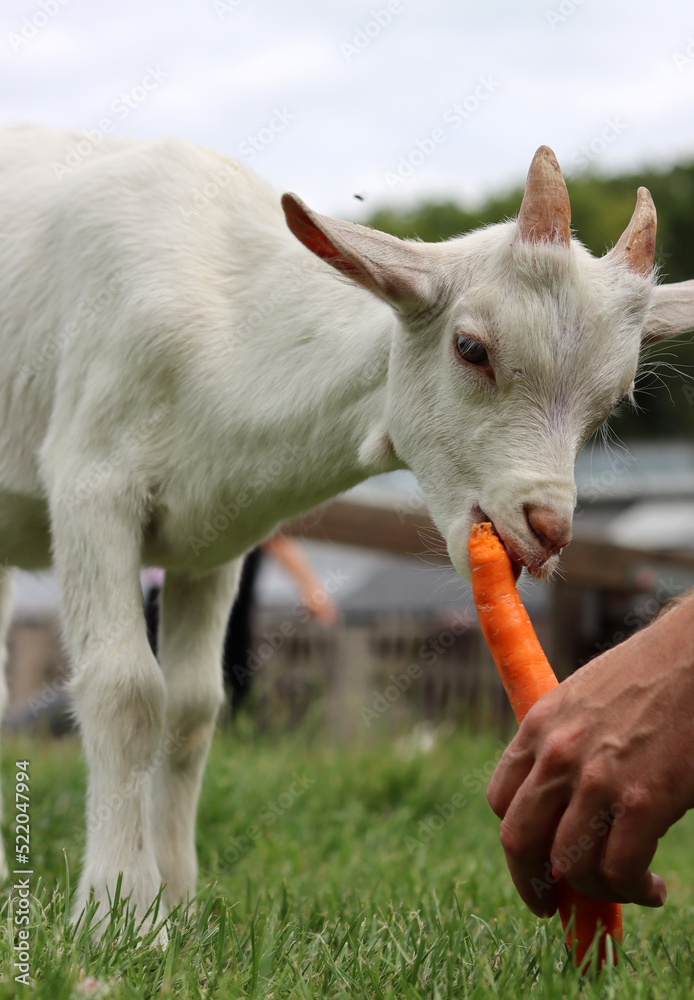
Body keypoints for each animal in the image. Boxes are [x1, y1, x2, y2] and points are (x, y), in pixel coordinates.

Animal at [0, 124, 692, 935]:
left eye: (611, 402)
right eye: (471, 349)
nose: (547, 527)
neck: (227, 330)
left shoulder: (210, 540)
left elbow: (193, 708)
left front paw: (177, 904)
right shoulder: (91, 484)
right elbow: (126, 692)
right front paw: (120, 917)